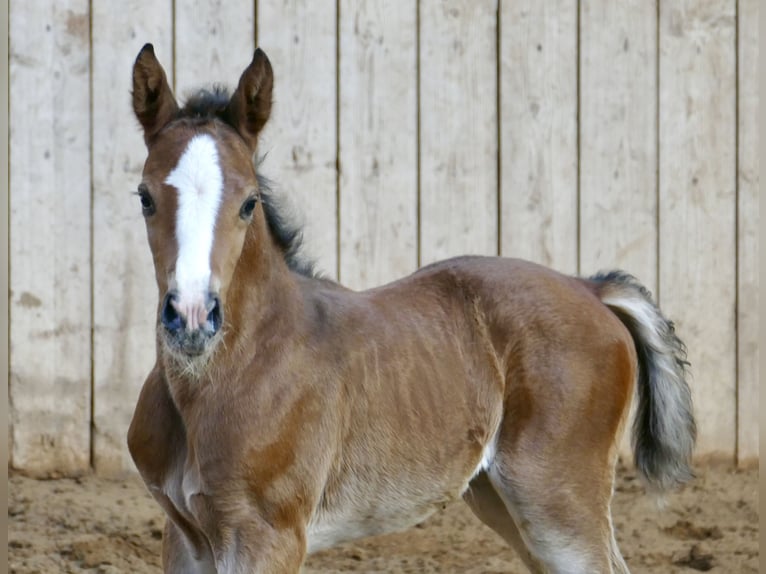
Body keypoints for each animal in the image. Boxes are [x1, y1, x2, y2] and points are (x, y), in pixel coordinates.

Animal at [127, 44, 696, 574]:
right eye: (144, 197)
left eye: (248, 203)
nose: (192, 318)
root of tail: (590, 289)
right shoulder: (184, 537)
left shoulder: (268, 535)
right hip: (503, 500)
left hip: (556, 502)